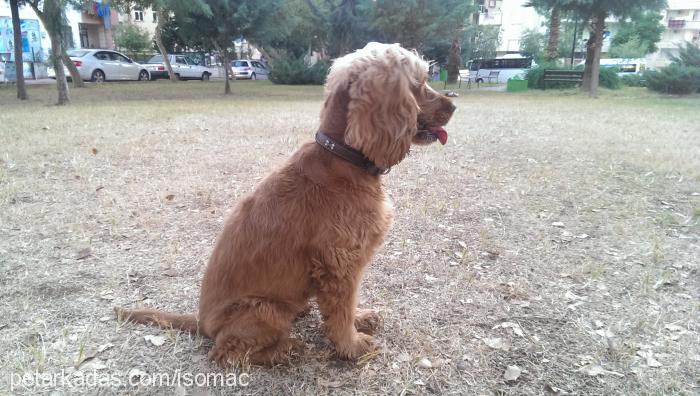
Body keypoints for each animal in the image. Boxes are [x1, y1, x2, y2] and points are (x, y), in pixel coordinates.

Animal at [116, 41, 454, 366]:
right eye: (419, 83)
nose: (454, 104)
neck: (343, 157)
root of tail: (202, 323)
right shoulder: (339, 264)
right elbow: (341, 311)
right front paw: (353, 345)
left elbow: (349, 305)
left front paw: (360, 319)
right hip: (266, 309)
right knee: (226, 353)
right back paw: (286, 349)